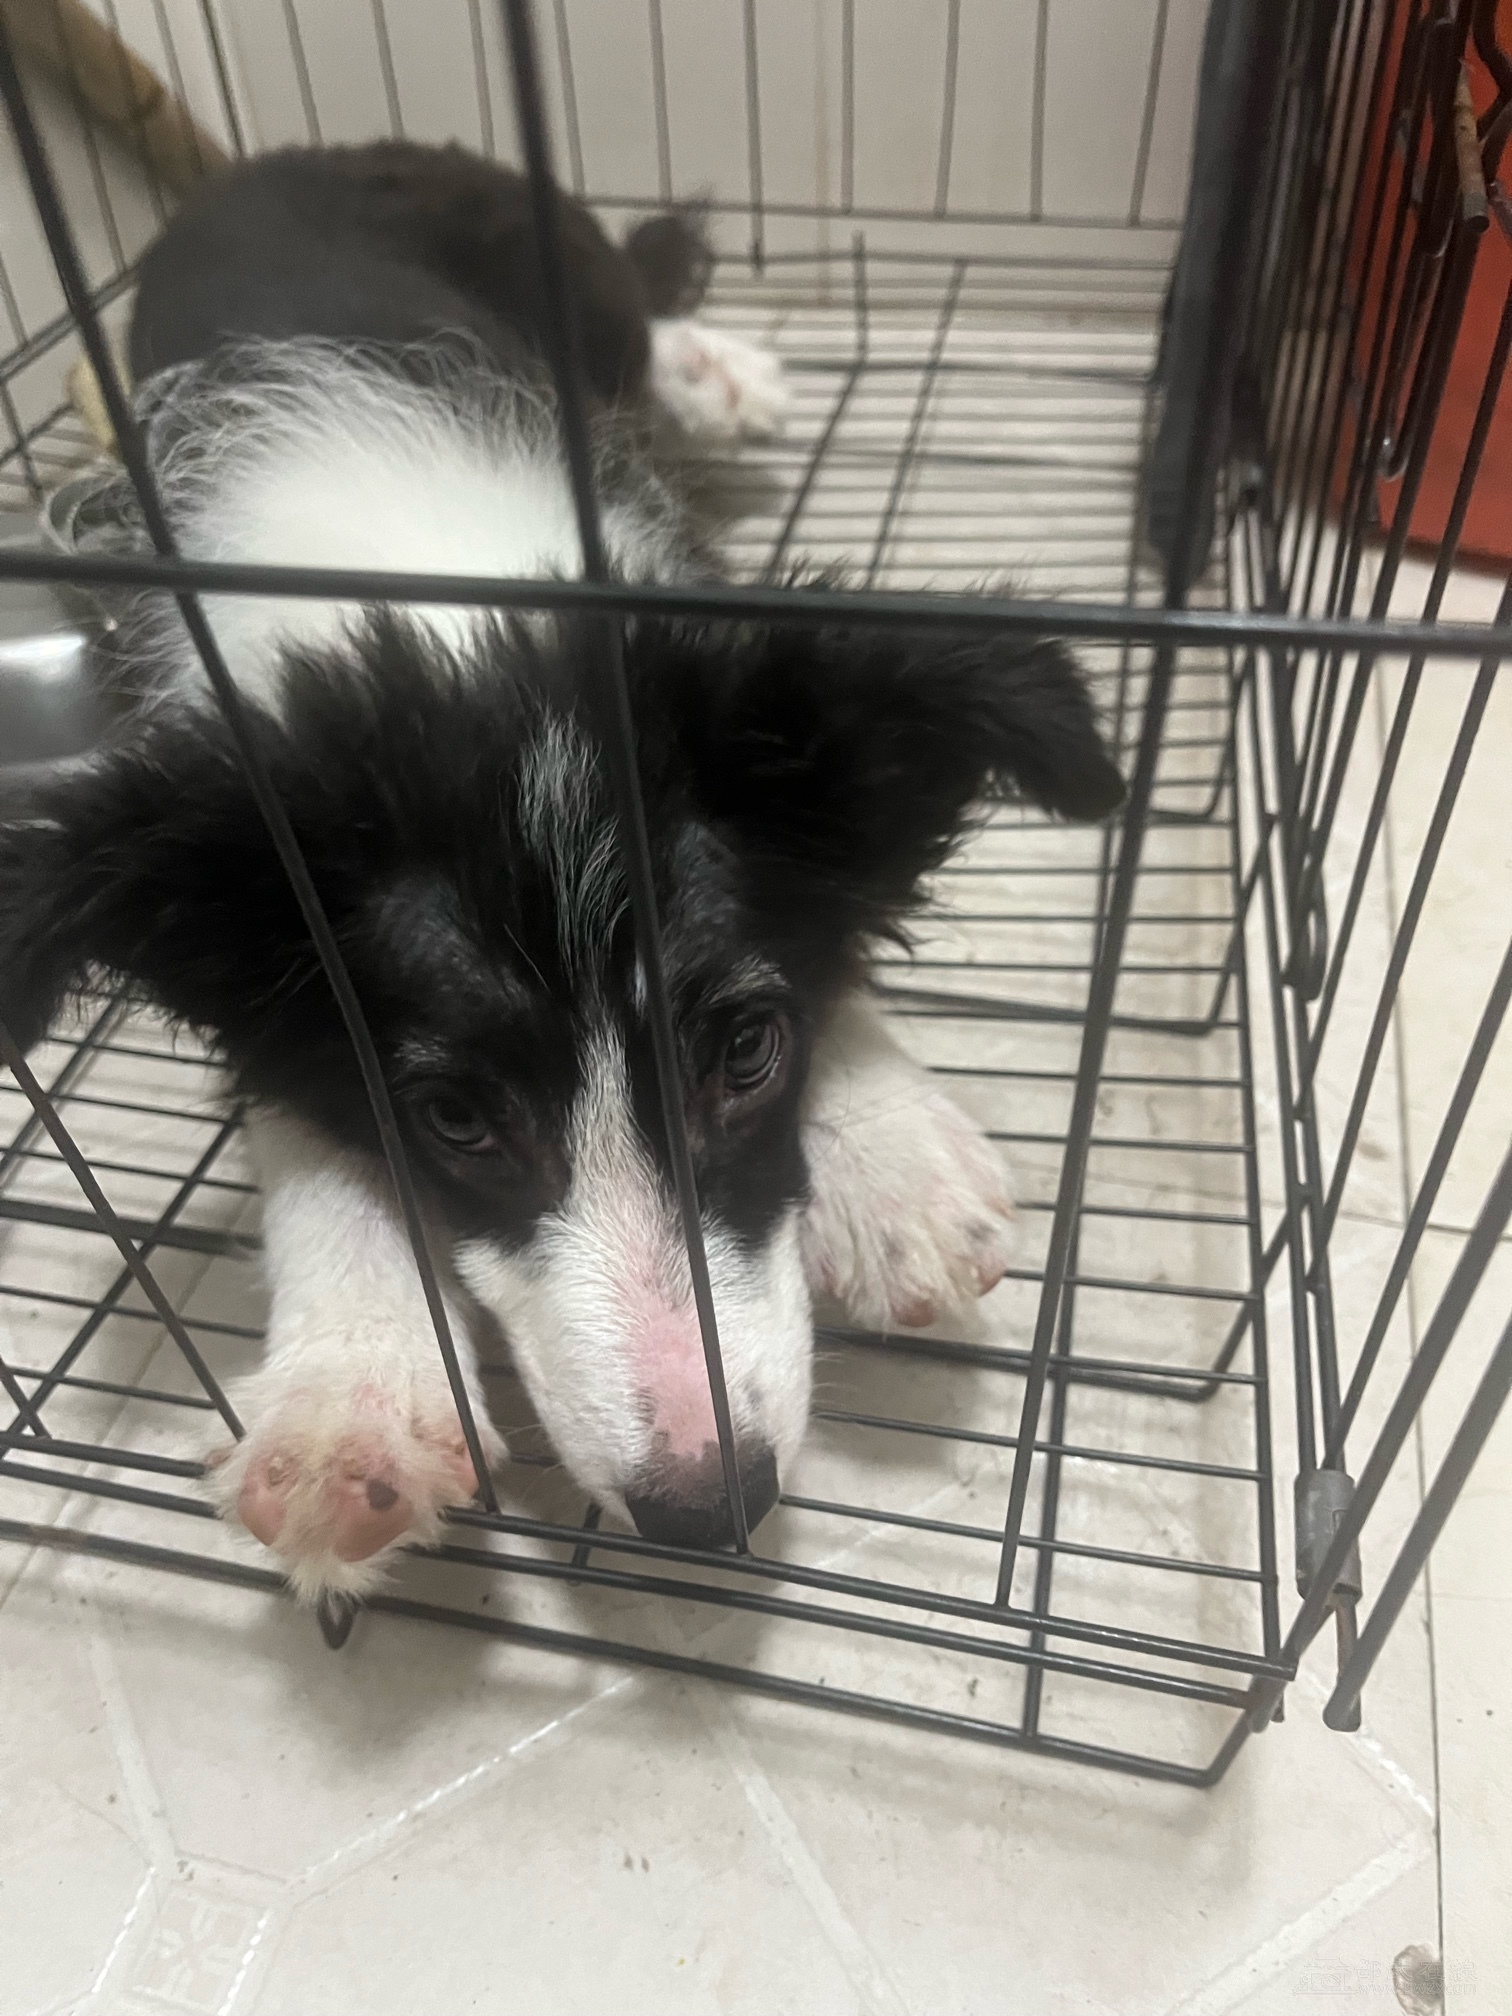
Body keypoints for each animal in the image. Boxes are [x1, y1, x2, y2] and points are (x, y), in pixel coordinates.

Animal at [0, 141, 1124, 1600]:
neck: (448, 615)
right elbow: (301, 1103)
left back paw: (719, 371)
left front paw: (889, 1160)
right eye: (455, 1121)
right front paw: (351, 1396)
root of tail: (294, 152)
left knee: (641, 305)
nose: (711, 1508)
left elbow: (830, 935)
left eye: (747, 1052)